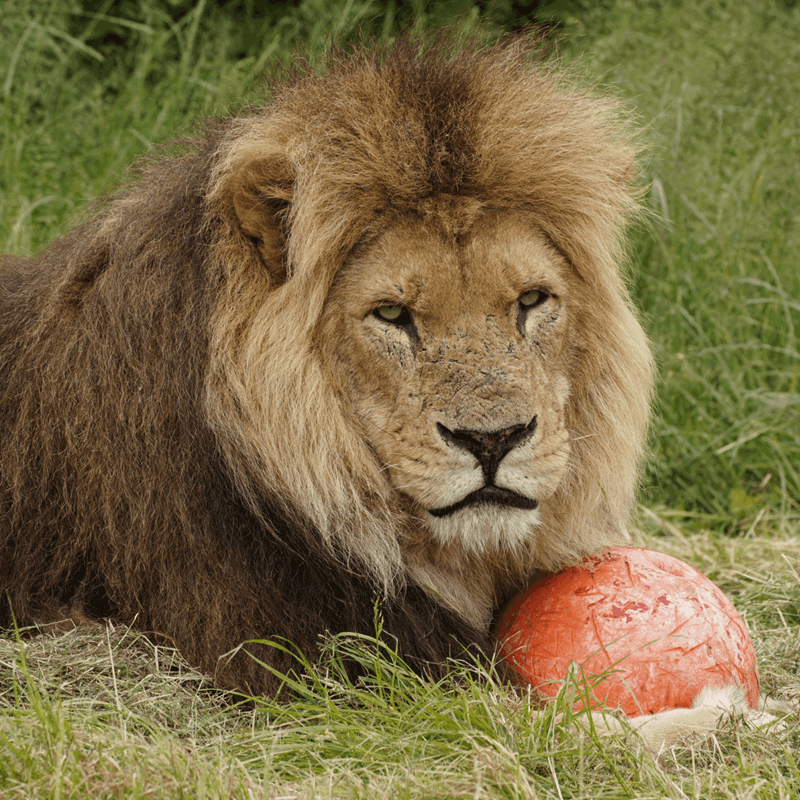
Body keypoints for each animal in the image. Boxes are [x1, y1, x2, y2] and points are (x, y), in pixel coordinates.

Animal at [0, 34, 777, 750]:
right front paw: (725, 713)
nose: (493, 440)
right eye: (392, 315)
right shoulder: (299, 658)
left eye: (531, 301)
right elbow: (559, 725)